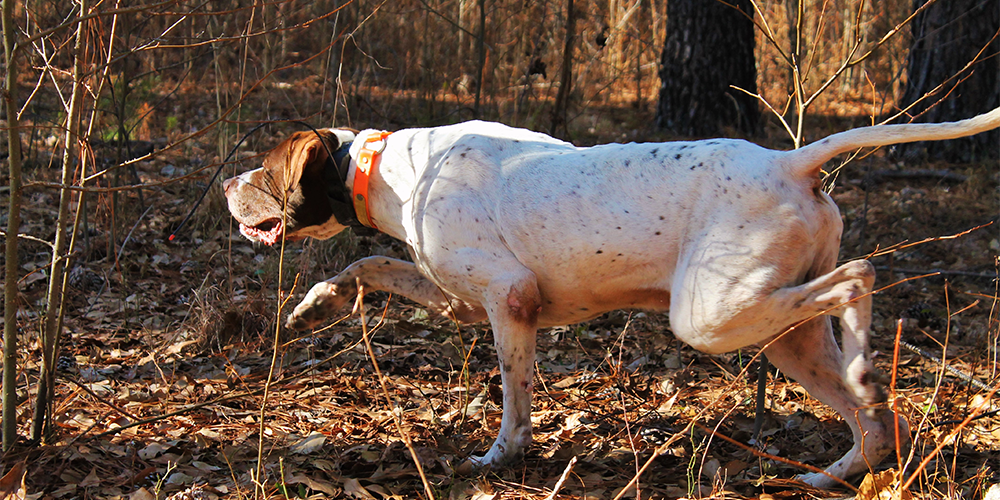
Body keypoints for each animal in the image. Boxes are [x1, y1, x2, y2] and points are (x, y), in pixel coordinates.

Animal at [223, 107, 1000, 486]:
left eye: (263, 169)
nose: (226, 183)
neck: (388, 168)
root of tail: (789, 163)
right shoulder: (460, 301)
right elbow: (369, 266)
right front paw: (317, 305)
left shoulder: (508, 299)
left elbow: (515, 400)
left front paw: (499, 459)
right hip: (782, 335)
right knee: (873, 423)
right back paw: (834, 465)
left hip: (711, 316)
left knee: (859, 277)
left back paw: (866, 365)